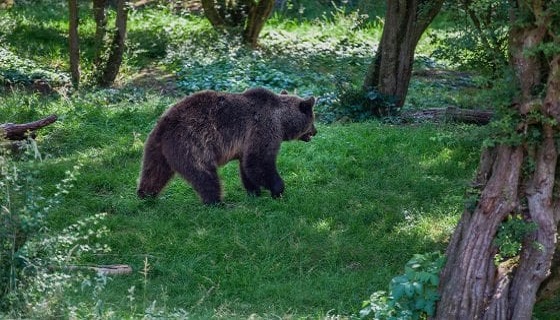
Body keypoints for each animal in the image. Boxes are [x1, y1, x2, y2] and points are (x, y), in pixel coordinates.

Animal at [137, 86, 316, 204]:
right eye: (313, 119)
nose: (315, 131)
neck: (282, 121)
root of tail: (165, 123)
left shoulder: (246, 143)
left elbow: (247, 167)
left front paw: (254, 192)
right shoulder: (263, 129)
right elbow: (259, 161)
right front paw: (277, 190)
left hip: (156, 147)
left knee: (153, 171)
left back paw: (145, 195)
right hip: (192, 144)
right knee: (205, 175)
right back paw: (217, 202)